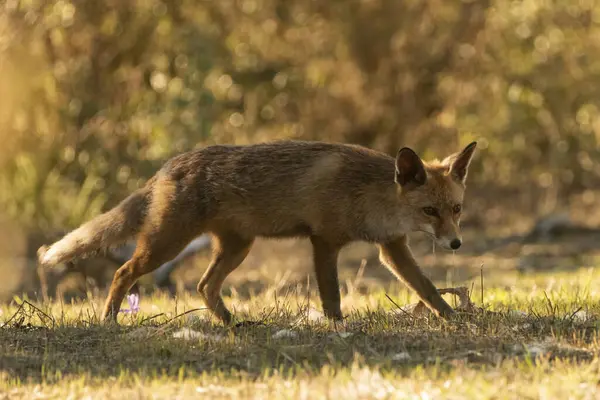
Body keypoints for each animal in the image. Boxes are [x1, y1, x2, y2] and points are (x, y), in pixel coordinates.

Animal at [37, 141, 478, 324]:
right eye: (430, 211)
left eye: (456, 209)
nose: (456, 243)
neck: (371, 195)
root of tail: (169, 165)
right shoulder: (324, 241)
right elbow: (332, 295)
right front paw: (337, 326)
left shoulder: (392, 247)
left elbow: (427, 289)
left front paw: (454, 318)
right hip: (166, 245)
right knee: (122, 272)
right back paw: (109, 318)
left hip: (237, 247)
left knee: (204, 286)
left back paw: (231, 324)